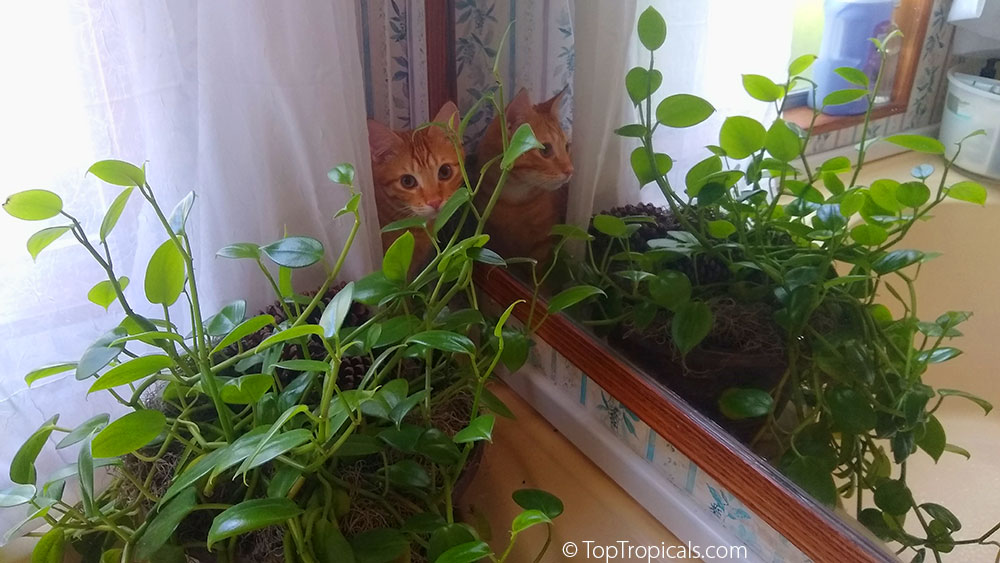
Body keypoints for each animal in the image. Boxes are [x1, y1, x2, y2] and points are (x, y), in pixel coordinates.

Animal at [474, 88, 572, 268]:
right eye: (545, 150)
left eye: (566, 147)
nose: (570, 170)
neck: (513, 201)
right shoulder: (496, 242)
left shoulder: (543, 244)